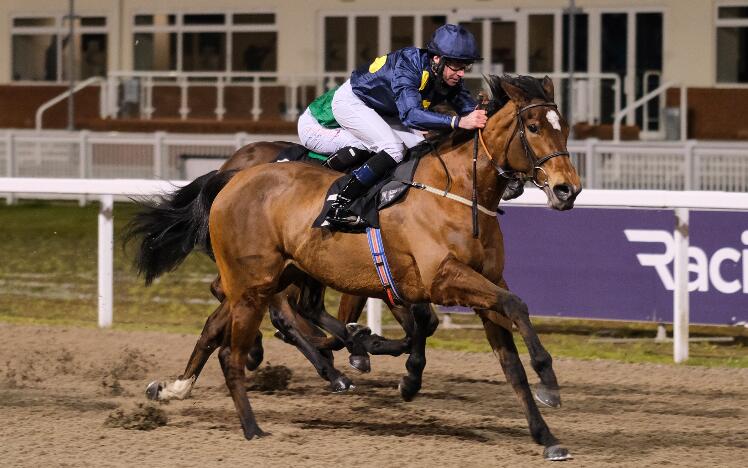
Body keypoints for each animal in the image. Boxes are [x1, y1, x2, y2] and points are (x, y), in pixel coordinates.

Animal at [136, 75, 580, 458]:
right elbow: (510, 305)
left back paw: (177, 387)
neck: (455, 191)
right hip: (256, 280)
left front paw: (546, 436)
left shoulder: (480, 282)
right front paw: (548, 381)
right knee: (256, 328)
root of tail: (230, 176)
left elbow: (509, 360)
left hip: (282, 273)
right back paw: (269, 407)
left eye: (565, 129)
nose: (567, 189)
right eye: (534, 127)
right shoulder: (442, 278)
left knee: (228, 322)